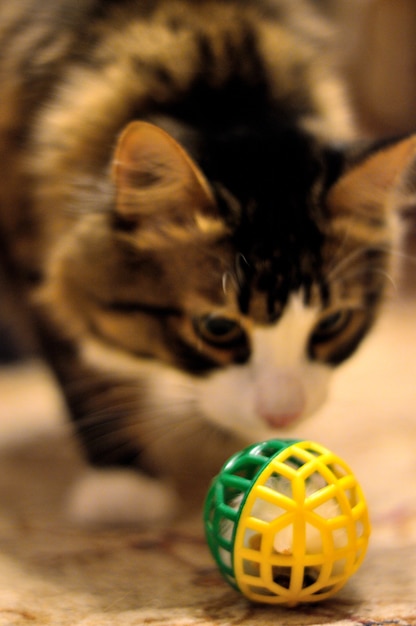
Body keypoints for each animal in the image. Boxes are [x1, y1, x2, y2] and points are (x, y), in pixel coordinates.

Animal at [0, 0, 416, 524]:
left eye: (332, 323)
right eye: (218, 329)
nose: (283, 415)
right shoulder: (30, 239)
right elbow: (86, 374)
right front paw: (123, 486)